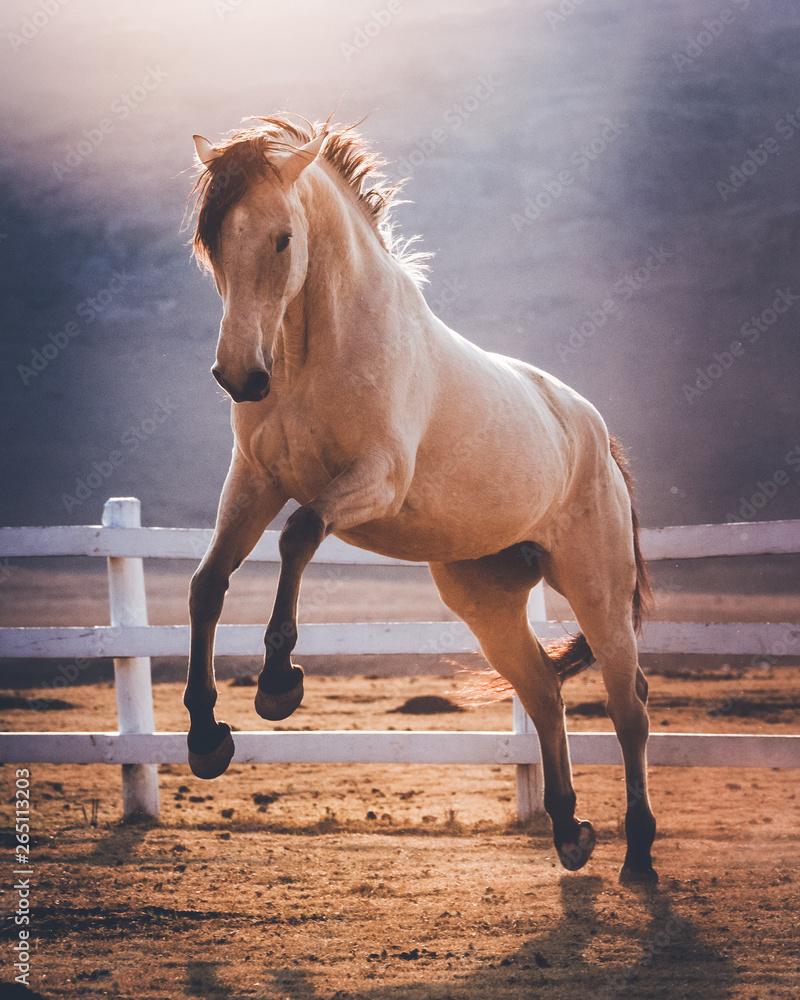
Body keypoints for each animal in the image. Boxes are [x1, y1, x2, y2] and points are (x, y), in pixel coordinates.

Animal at [183, 115, 657, 883]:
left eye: (281, 238)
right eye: (212, 240)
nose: (239, 376)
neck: (319, 351)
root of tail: (596, 434)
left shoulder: (374, 480)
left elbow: (298, 535)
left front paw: (280, 684)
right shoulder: (254, 483)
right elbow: (207, 586)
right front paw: (206, 738)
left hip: (598, 592)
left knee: (628, 708)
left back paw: (638, 855)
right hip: (486, 600)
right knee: (543, 692)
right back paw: (569, 833)